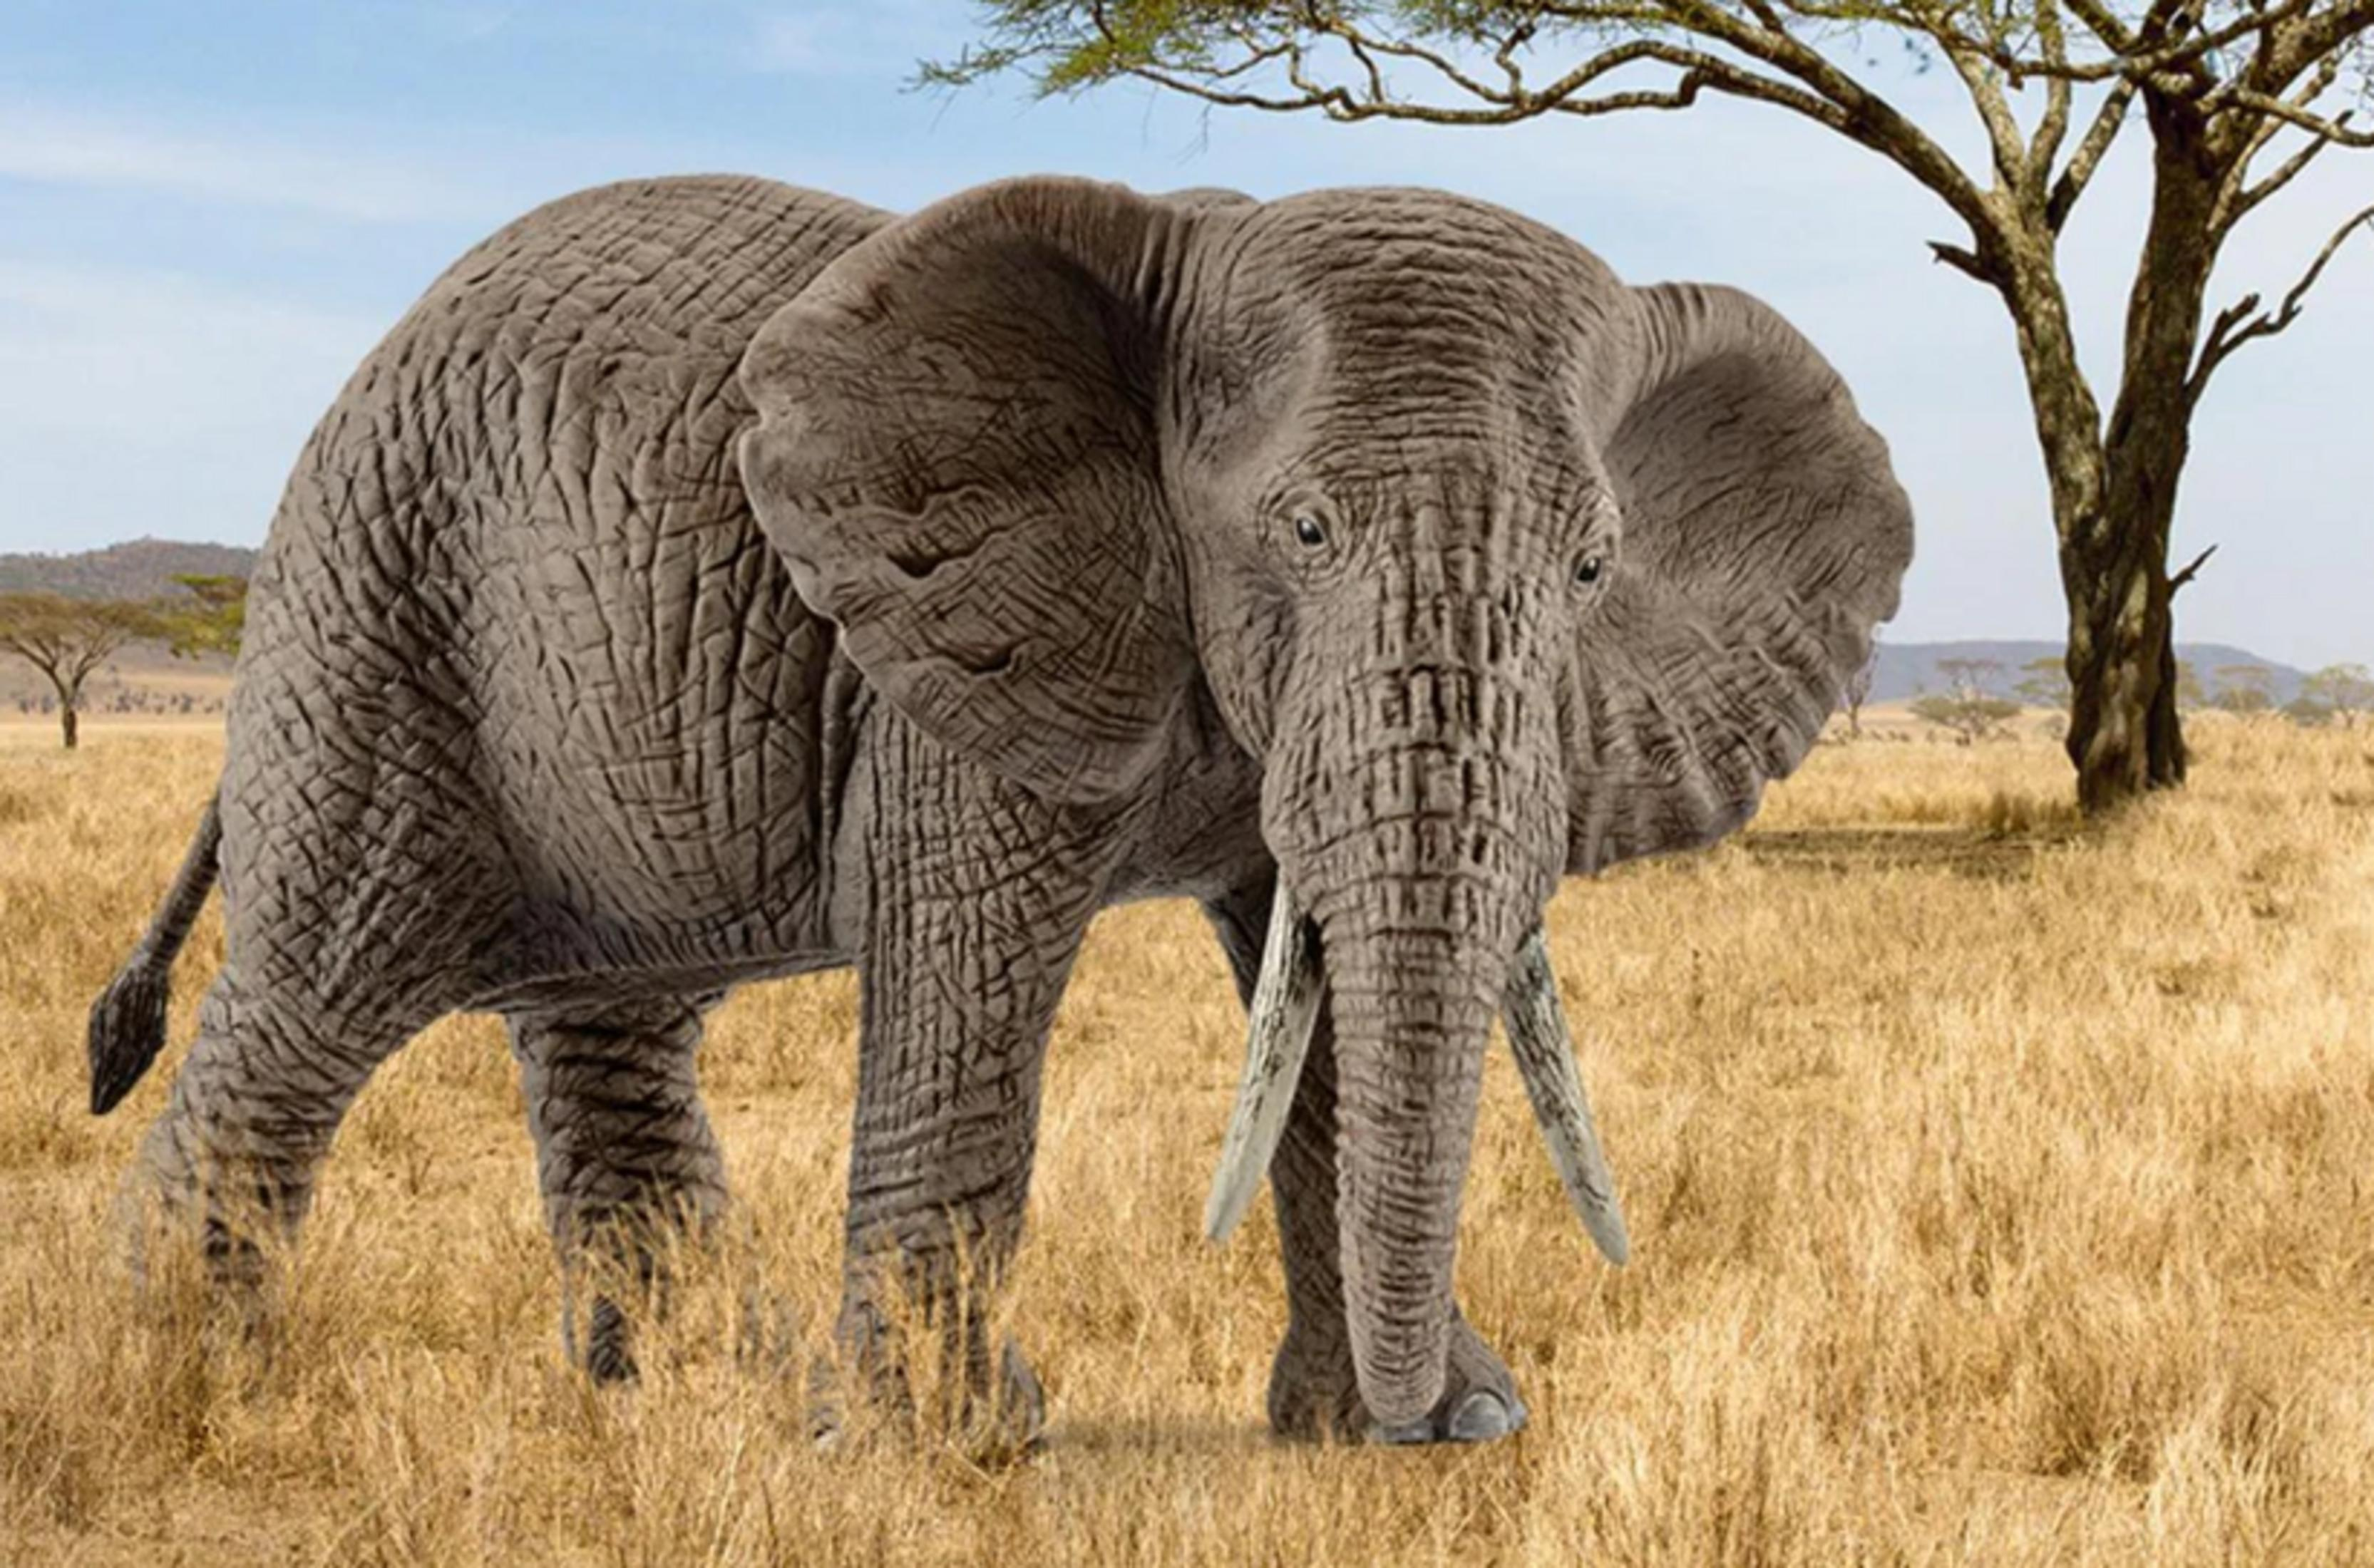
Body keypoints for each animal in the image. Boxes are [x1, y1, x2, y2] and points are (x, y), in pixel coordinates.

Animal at [86, 172, 1910, 1447]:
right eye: (1303, 530)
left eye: (1594, 568)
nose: (1444, 1416)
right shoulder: (952, 643)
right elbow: (971, 975)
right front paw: (950, 1452)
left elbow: (1310, 987)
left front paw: (1425, 1429)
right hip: (379, 608)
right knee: (312, 999)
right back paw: (193, 1398)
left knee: (611, 1027)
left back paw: (689, 1393)